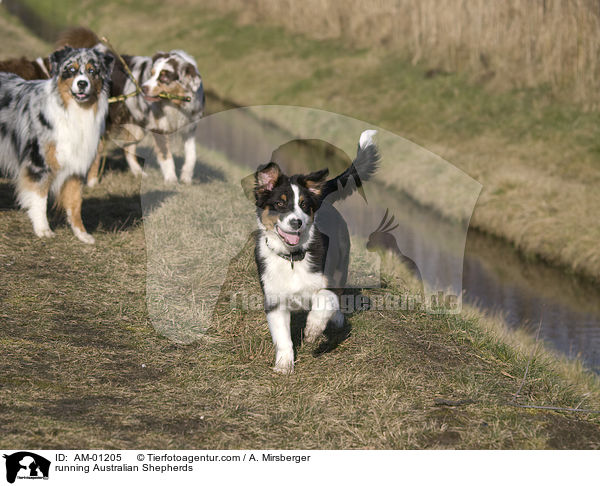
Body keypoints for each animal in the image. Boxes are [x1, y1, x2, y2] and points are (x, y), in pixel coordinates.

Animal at [0, 45, 114, 241]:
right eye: (71, 70)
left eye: (92, 71)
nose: (82, 84)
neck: (74, 111)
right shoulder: (39, 163)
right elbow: (40, 198)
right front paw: (43, 229)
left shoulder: (76, 166)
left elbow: (75, 203)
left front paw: (82, 234)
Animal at [253, 129, 380, 372]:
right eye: (280, 204)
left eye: (304, 205)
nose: (297, 222)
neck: (293, 258)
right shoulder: (274, 299)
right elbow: (282, 337)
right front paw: (284, 366)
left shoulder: (325, 280)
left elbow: (325, 299)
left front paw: (312, 330)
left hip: (342, 262)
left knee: (338, 293)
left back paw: (336, 319)